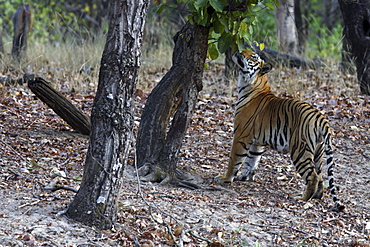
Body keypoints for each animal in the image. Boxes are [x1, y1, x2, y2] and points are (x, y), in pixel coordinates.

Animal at [215, 49, 346, 211]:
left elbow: (235, 159)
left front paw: (226, 178)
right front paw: (244, 177)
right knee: (321, 175)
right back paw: (316, 196)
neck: (247, 84)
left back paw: (303, 198)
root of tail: (320, 116)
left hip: (300, 150)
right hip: (318, 151)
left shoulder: (241, 135)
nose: (240, 51)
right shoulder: (257, 142)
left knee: (313, 175)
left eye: (253, 56)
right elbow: (251, 160)